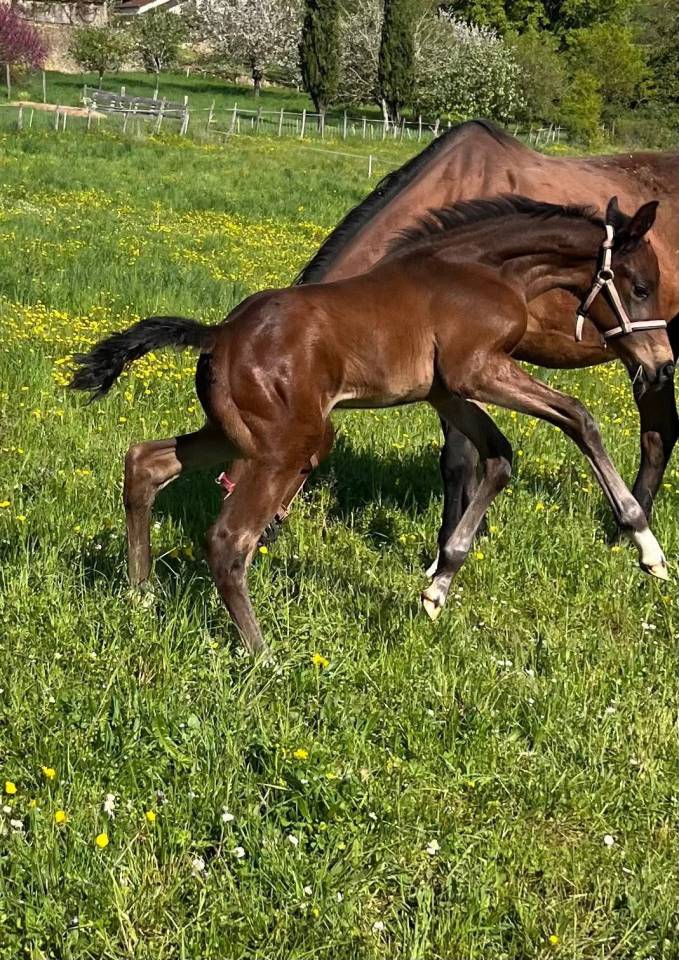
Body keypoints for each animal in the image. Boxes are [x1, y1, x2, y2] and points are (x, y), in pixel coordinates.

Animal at [70, 196, 672, 654]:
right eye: (641, 287)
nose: (664, 365)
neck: (481, 271)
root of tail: (218, 334)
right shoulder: (477, 370)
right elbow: (579, 417)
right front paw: (647, 546)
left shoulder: (446, 390)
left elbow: (499, 455)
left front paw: (438, 585)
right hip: (291, 446)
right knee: (227, 540)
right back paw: (262, 655)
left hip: (233, 434)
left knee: (145, 462)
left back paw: (141, 596)